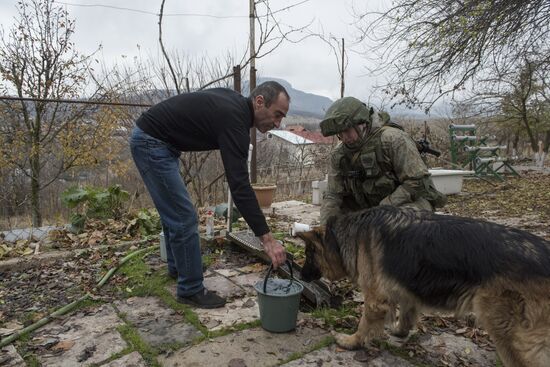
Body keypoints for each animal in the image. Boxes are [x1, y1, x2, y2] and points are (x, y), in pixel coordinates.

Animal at [300, 206, 548, 367]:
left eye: (309, 254)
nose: (301, 276)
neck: (346, 236)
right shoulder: (406, 290)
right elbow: (407, 313)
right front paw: (399, 331)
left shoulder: (375, 299)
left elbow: (365, 324)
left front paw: (351, 342)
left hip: (508, 334)